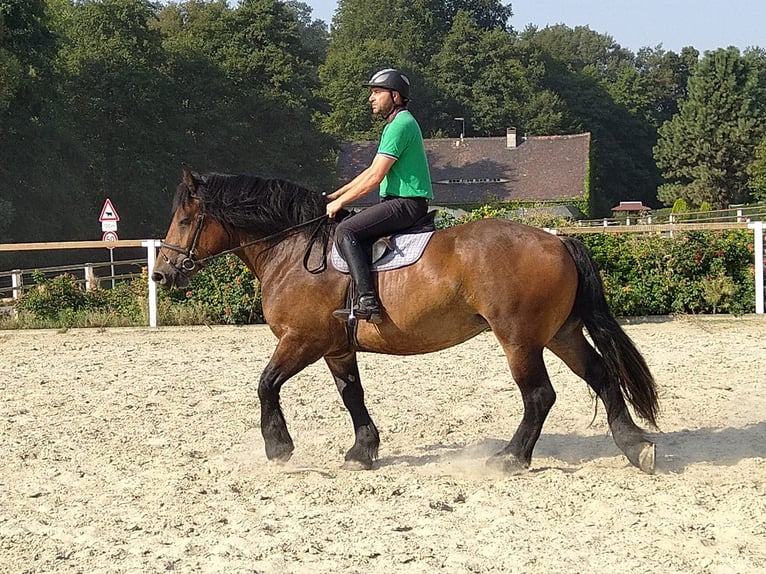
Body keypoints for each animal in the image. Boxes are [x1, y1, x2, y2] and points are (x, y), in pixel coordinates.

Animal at [154, 166, 660, 476]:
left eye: (186, 220)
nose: (161, 273)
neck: (293, 250)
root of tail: (557, 240)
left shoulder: (303, 340)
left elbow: (265, 384)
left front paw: (278, 448)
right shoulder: (336, 348)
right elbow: (352, 396)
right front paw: (362, 451)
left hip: (519, 339)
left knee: (539, 395)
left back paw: (511, 458)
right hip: (559, 333)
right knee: (601, 376)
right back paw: (635, 446)